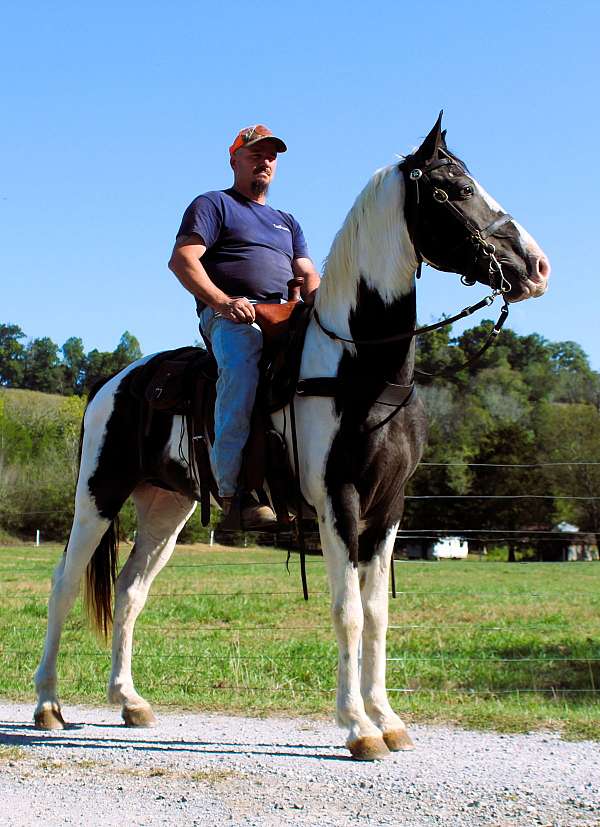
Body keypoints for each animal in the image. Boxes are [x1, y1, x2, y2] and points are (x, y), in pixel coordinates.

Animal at [31, 113, 548, 760]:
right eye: (456, 190)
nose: (537, 267)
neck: (359, 363)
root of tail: (113, 383)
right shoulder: (337, 501)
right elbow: (347, 611)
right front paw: (357, 728)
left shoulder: (389, 508)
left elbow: (378, 613)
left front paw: (389, 718)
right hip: (98, 495)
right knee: (64, 584)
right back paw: (48, 706)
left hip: (165, 506)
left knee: (129, 592)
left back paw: (130, 702)